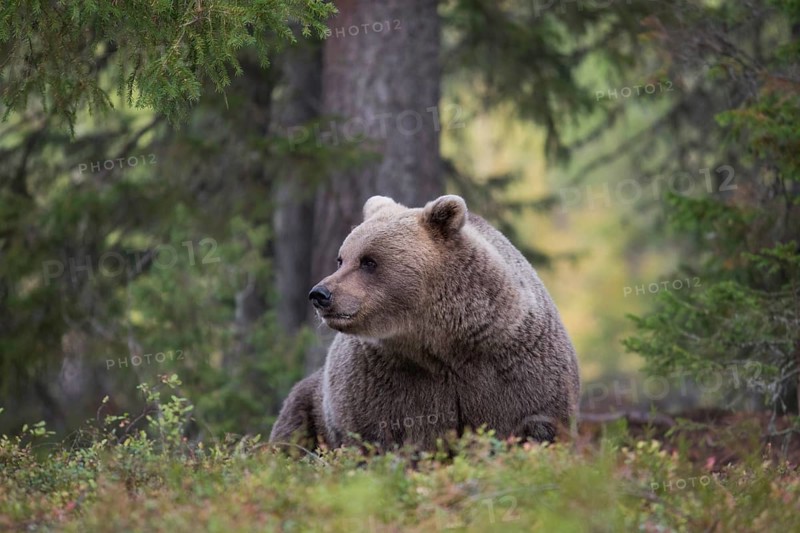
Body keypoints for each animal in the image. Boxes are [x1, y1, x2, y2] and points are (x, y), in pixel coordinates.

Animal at [269, 194, 580, 451]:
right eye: (341, 259)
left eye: (368, 261)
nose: (320, 294)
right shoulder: (383, 381)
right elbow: (380, 436)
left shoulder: (515, 371)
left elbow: (536, 425)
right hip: (309, 402)